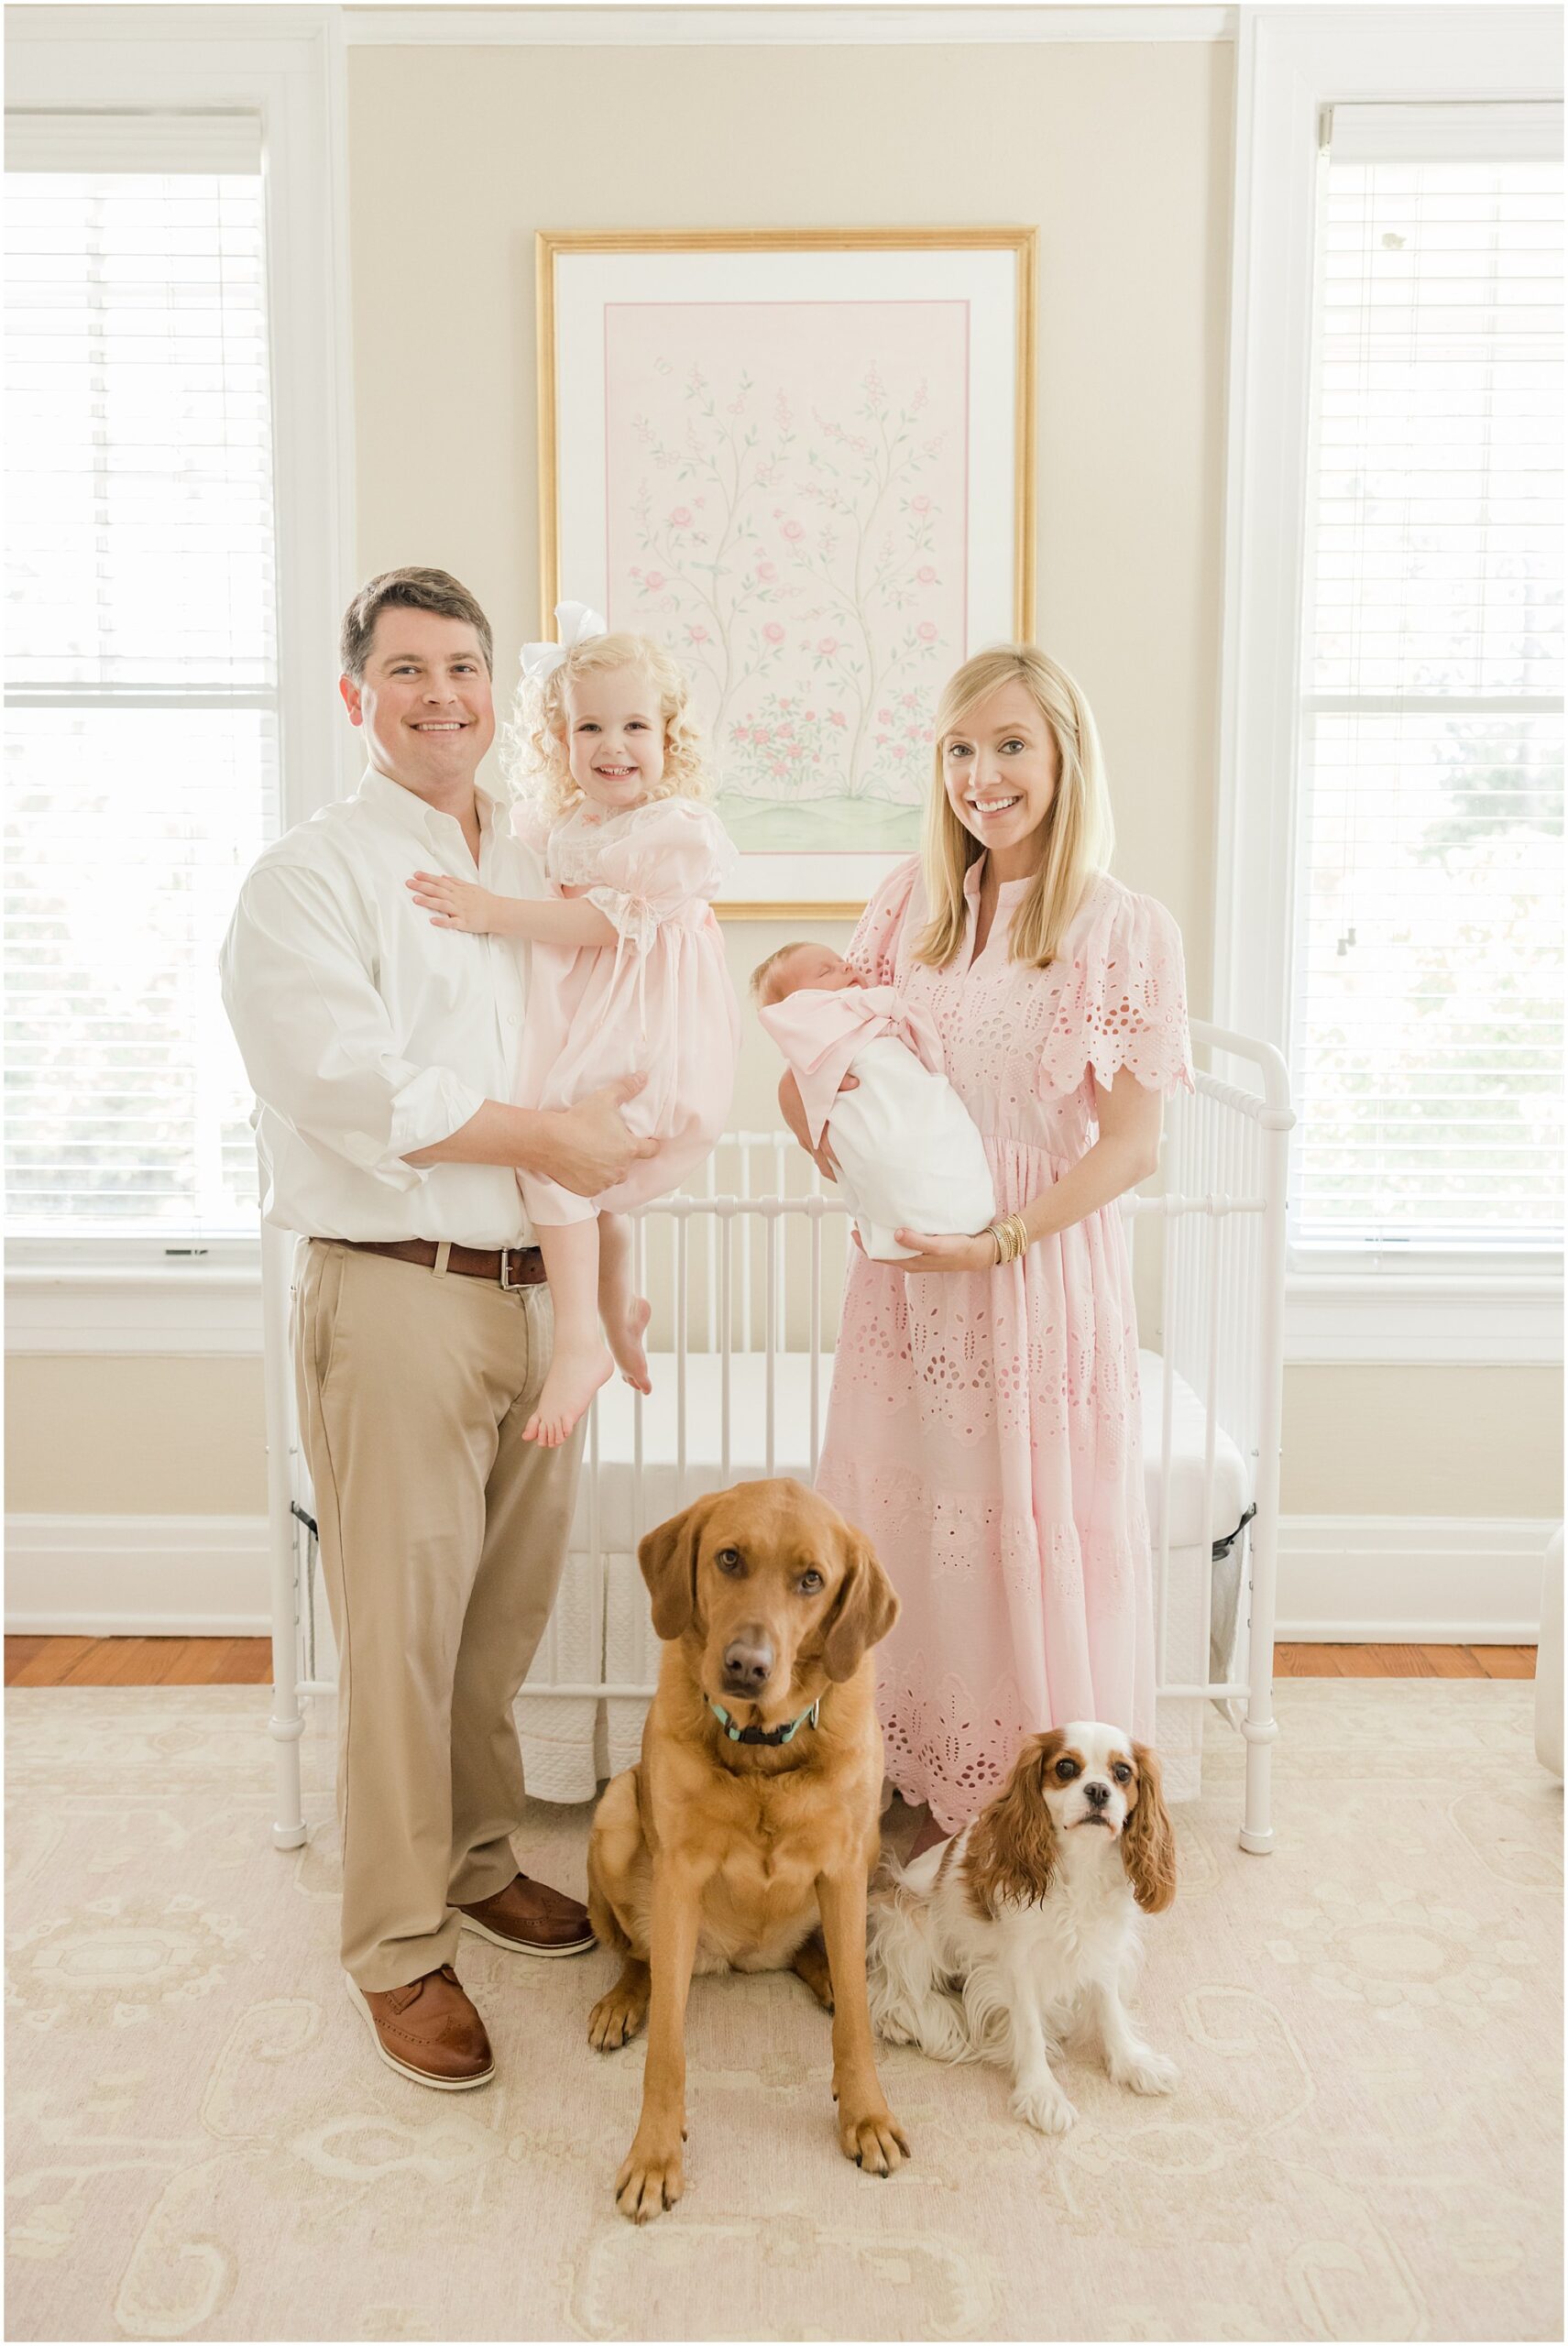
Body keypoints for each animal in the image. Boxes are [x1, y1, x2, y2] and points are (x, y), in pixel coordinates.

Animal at [584, 1473, 905, 2223]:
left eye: (812, 1579)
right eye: (728, 1559)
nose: (746, 1665)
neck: (763, 1748)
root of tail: (741, 1960)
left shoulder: (844, 1866)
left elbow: (855, 2025)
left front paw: (866, 2115)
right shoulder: (678, 1877)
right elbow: (667, 2050)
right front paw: (654, 2153)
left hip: (867, 1847)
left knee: (823, 1959)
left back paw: (826, 1974)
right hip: (616, 1817)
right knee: (637, 1956)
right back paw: (622, 2001)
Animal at [868, 1716, 1173, 2139]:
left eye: (1123, 1773)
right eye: (1066, 1767)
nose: (1098, 1790)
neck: (1080, 1865)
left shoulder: (1102, 1948)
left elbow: (1110, 2009)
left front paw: (1131, 2061)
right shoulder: (1019, 1963)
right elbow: (1028, 2029)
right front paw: (1042, 2093)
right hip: (911, 1923)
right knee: (892, 1992)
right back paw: (913, 2025)